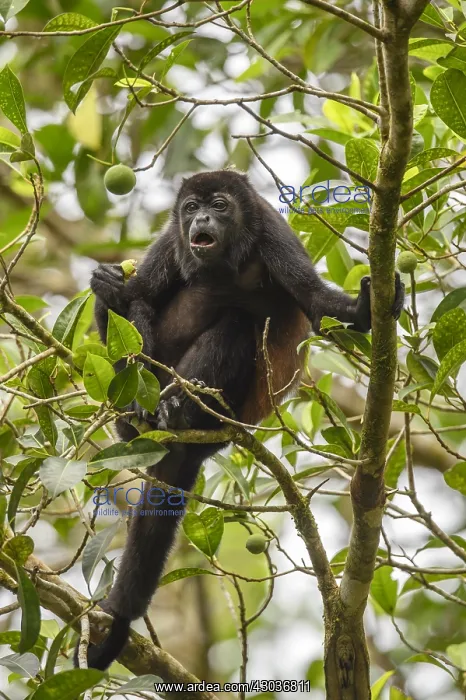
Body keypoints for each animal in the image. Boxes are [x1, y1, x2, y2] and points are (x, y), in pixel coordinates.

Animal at [81, 170, 404, 670]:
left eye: (219, 205)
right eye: (191, 208)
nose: (202, 220)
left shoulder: (274, 234)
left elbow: (316, 303)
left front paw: (363, 306)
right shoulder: (169, 242)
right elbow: (135, 297)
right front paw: (112, 285)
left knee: (234, 325)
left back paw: (180, 408)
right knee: (125, 314)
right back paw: (139, 412)